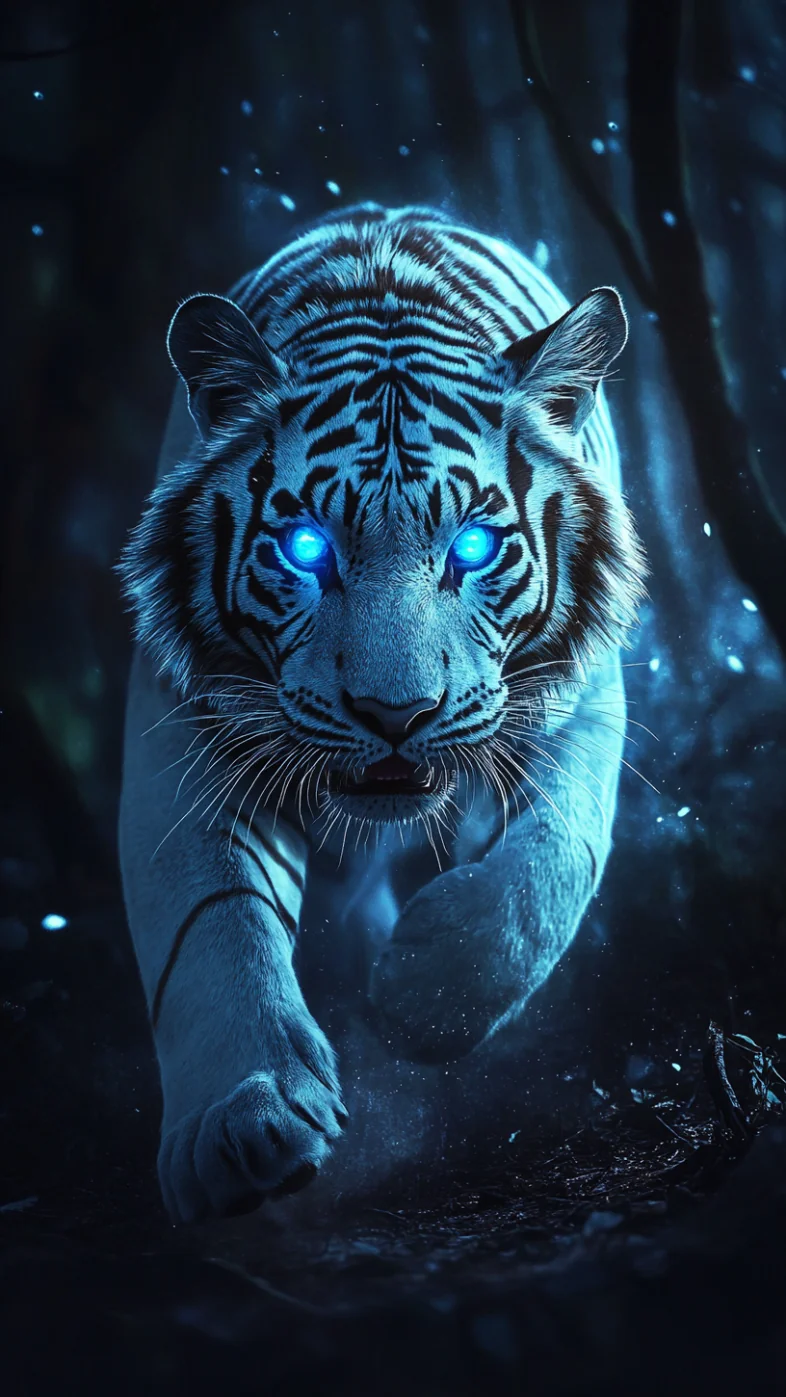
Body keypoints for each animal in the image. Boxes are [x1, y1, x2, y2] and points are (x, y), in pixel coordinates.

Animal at [118, 203, 646, 1223]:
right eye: (305, 546)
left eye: (473, 547)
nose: (395, 713)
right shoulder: (187, 724)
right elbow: (212, 922)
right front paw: (242, 1123)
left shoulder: (583, 697)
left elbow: (550, 863)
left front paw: (420, 1001)